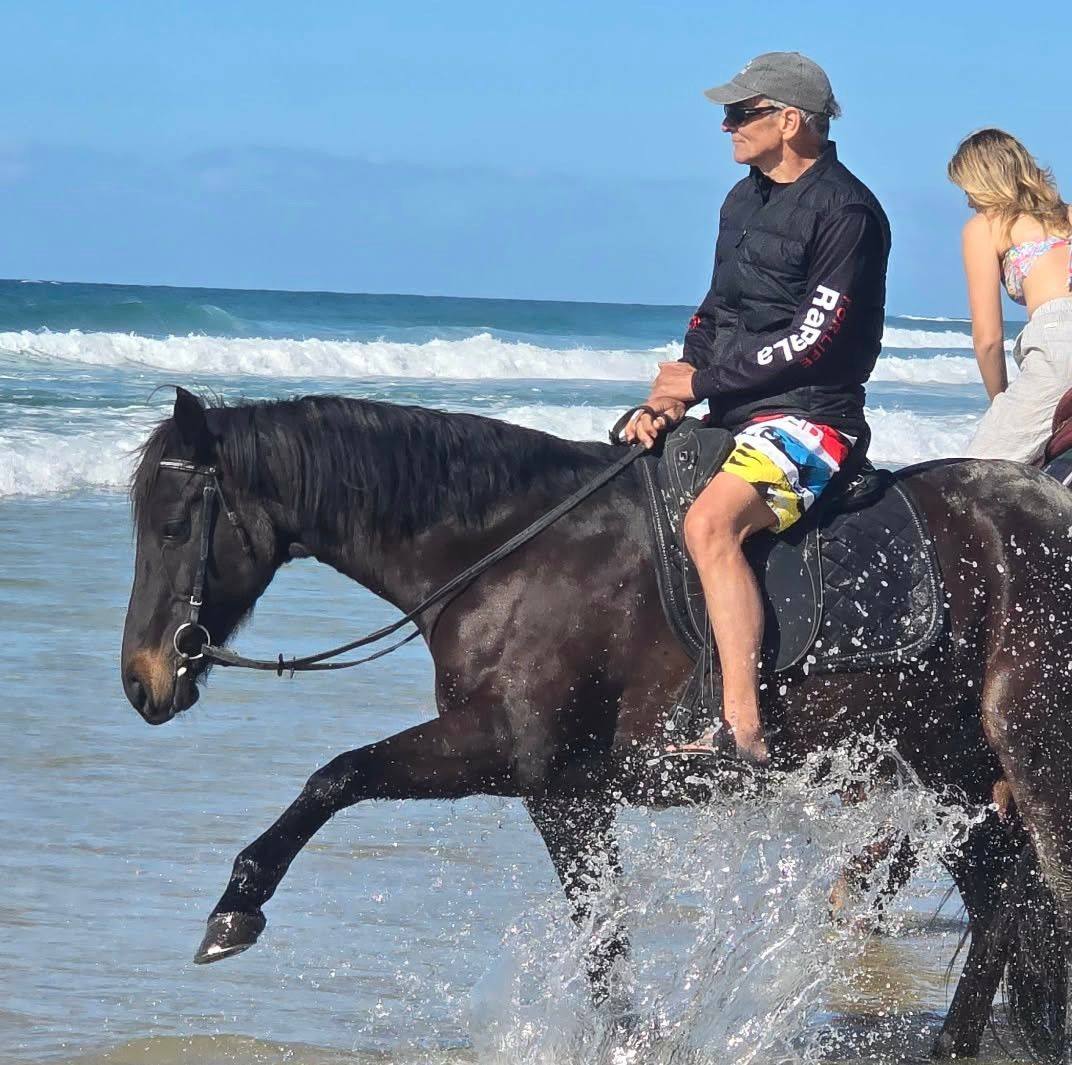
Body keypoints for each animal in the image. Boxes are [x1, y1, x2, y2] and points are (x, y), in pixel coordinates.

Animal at [121, 387, 1072, 1060]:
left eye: (173, 527)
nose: (142, 679)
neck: (508, 554)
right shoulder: (562, 790)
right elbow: (602, 930)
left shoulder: (500, 749)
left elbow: (336, 774)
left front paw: (236, 907)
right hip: (948, 773)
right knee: (1002, 907)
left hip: (1027, 757)